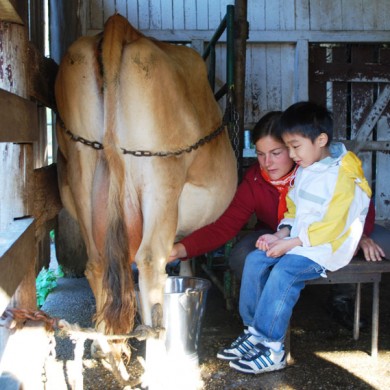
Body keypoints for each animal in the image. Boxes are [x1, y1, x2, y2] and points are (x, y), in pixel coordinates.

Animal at [54, 12, 238, 384]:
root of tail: (120, 28)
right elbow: (184, 257)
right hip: (161, 174)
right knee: (152, 261)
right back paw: (158, 361)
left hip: (81, 169)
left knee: (100, 262)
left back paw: (110, 349)